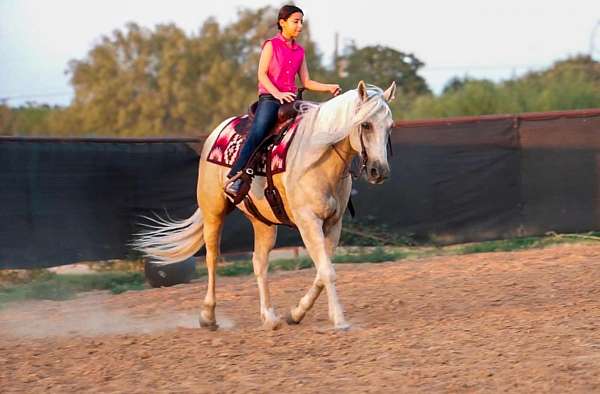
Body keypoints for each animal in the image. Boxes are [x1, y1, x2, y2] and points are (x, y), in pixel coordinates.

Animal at [136, 80, 398, 330]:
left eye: (390, 127)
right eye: (366, 125)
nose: (379, 171)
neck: (319, 156)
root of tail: (216, 133)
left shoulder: (333, 224)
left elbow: (322, 272)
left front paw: (296, 313)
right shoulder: (308, 222)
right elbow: (327, 272)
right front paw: (340, 320)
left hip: (263, 223)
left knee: (259, 263)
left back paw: (270, 318)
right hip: (213, 212)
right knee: (212, 258)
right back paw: (208, 316)